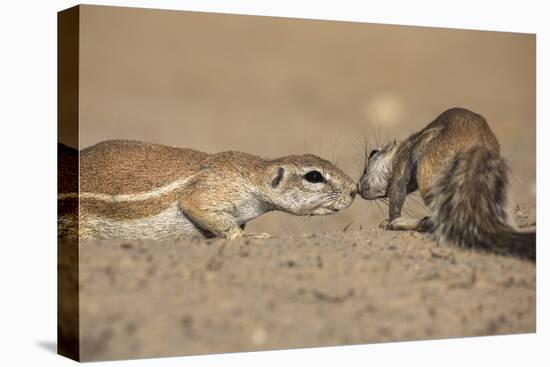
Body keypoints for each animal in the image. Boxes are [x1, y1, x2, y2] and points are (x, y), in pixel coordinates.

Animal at [57, 139, 358, 240]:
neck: (253, 175)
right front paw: (248, 238)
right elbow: (197, 206)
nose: (355, 189)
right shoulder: (213, 188)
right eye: (314, 176)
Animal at [360, 106, 536, 262]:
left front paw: (390, 221)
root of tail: (477, 147)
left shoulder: (401, 161)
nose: (359, 187)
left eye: (372, 153)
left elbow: (397, 189)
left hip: (431, 175)